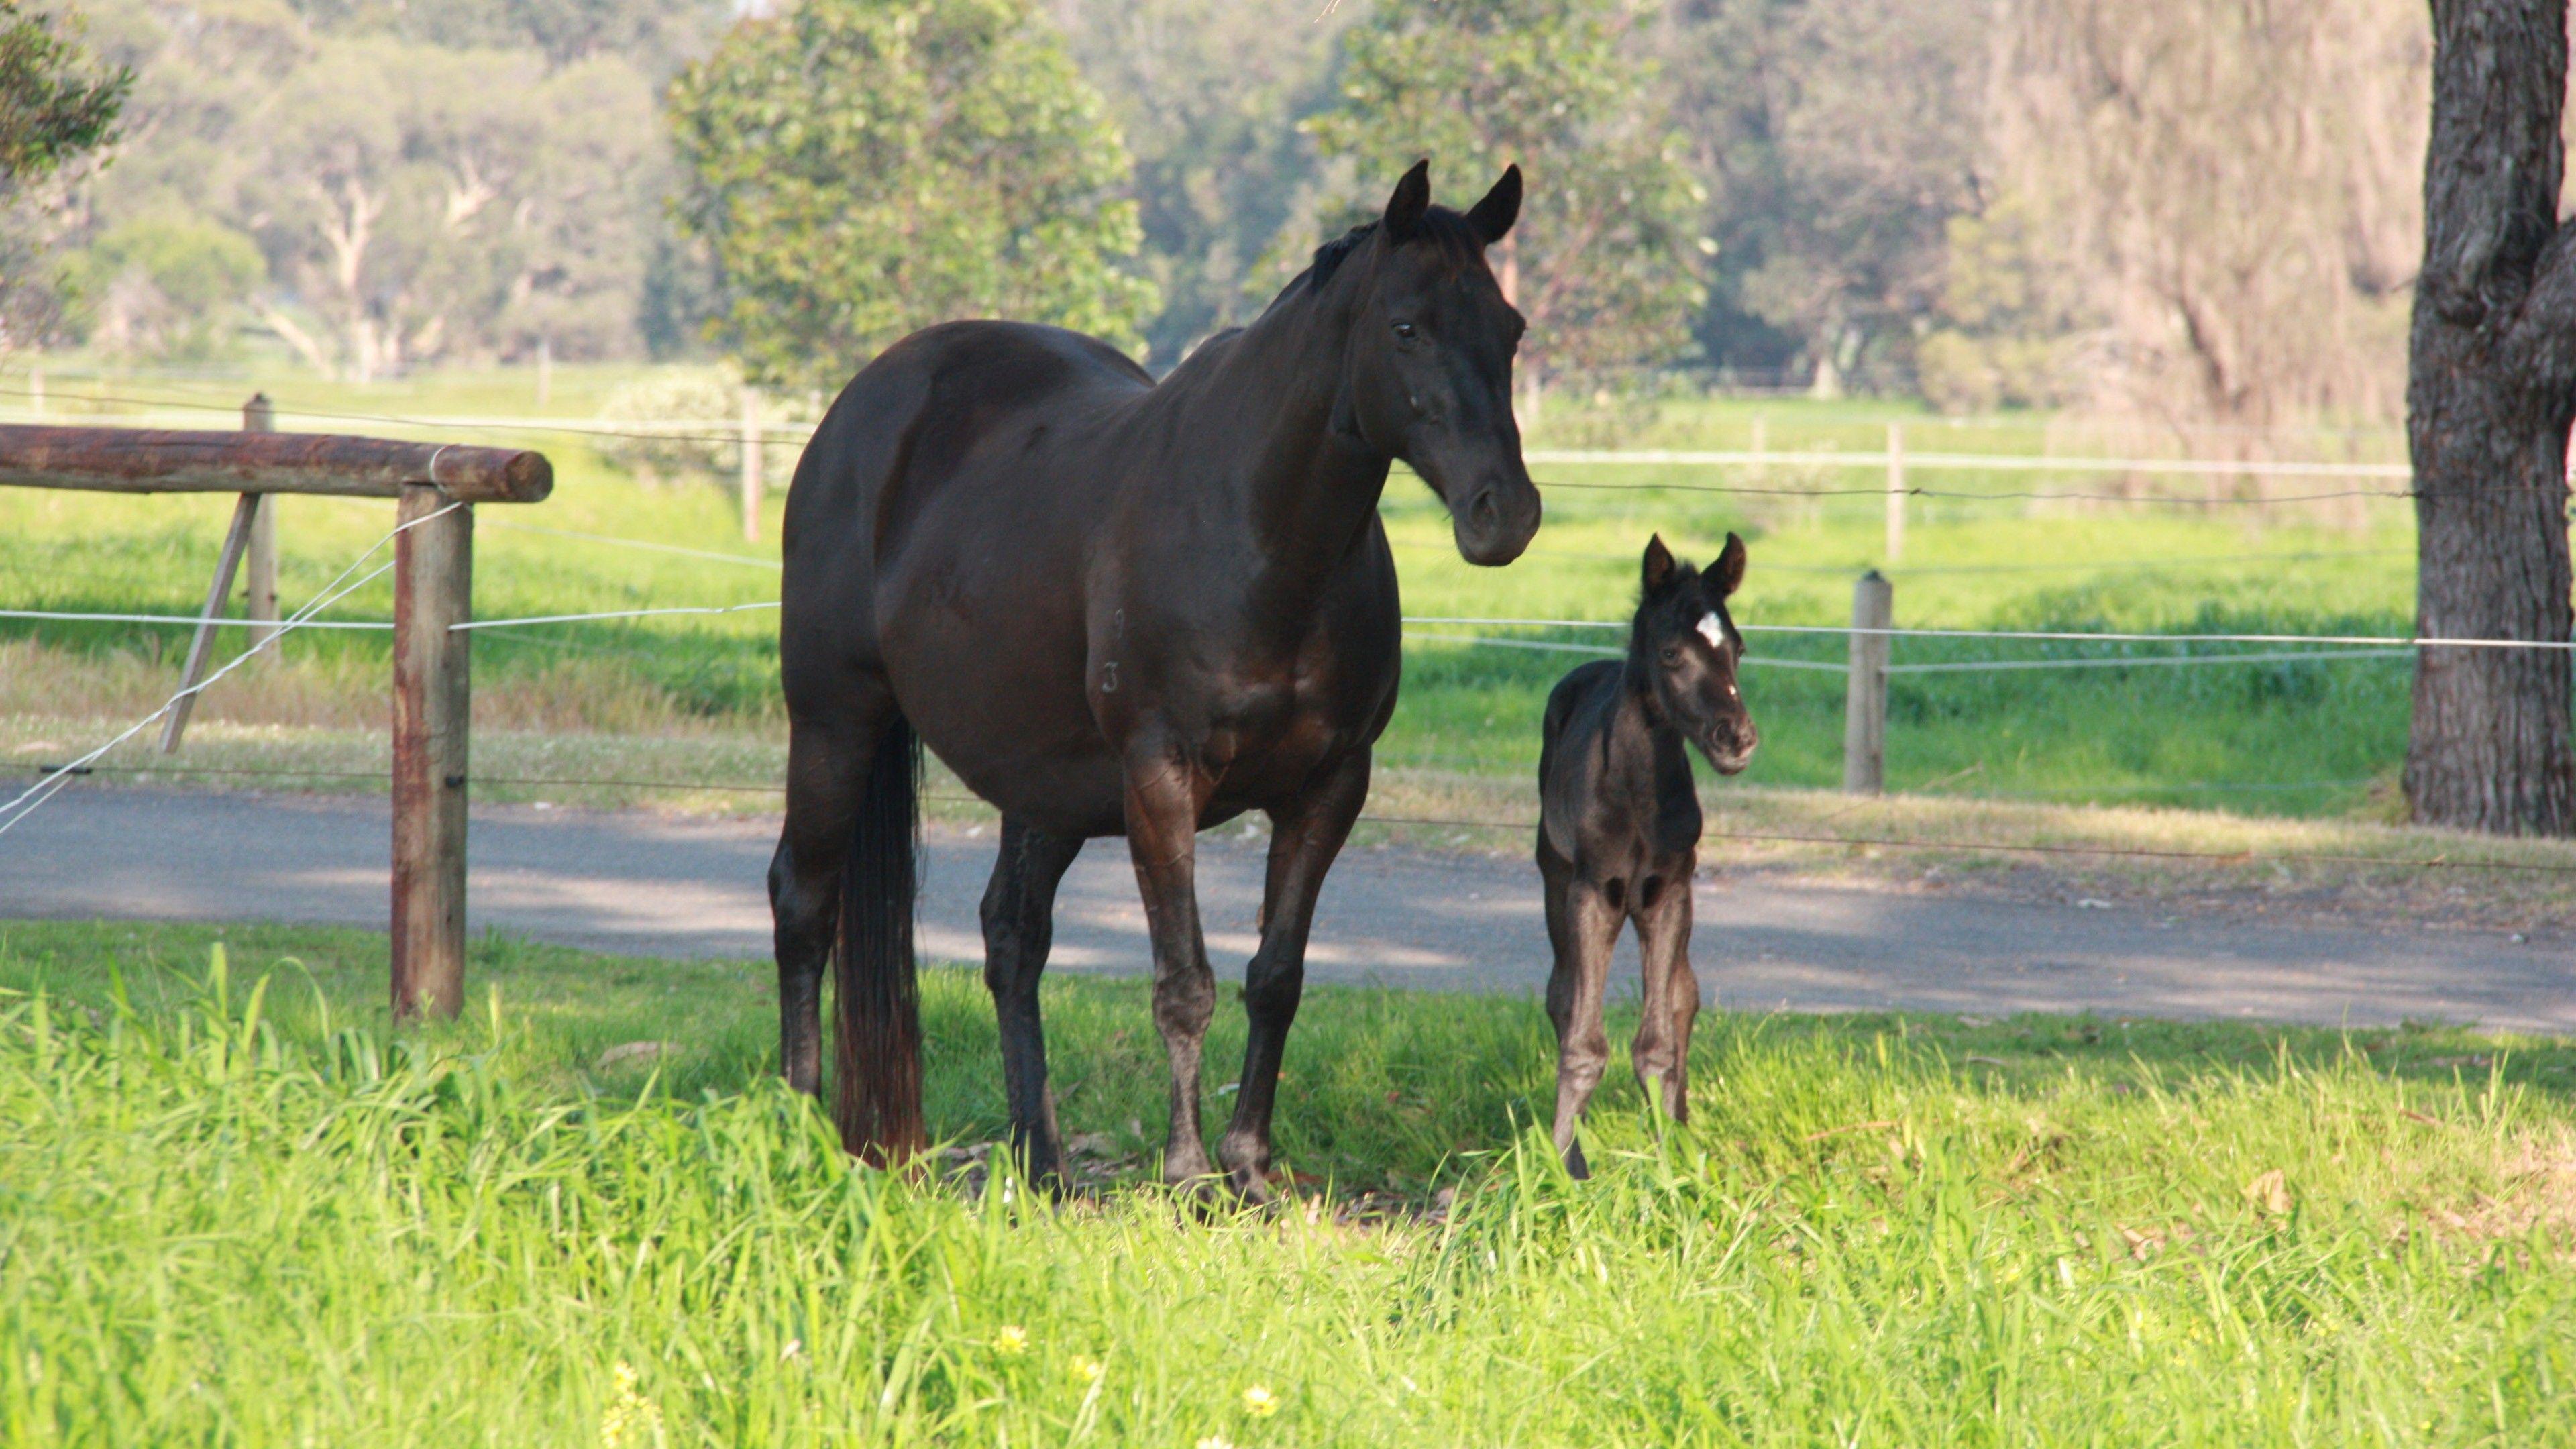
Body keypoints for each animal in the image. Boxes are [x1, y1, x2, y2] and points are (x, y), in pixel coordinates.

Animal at [770, 161, 1542, 1197]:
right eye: (1407, 327)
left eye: (1511, 328)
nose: (1506, 514)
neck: (1262, 535)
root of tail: (859, 410)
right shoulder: (1161, 776)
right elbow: (1186, 984)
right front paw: (1186, 1175)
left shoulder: (1331, 785)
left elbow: (1276, 978)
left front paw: (1249, 1168)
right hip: (834, 723)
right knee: (804, 906)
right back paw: (797, 1128)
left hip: (1042, 784)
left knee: (1012, 940)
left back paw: (1042, 1161)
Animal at [1533, 533, 1755, 1177]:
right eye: (1672, 652)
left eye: (1738, 648)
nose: (1737, 739)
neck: (1636, 796)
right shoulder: (1592, 895)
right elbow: (1582, 1038)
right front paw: (1565, 1166)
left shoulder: (1668, 892)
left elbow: (1660, 1040)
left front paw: (1671, 1164)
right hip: (1554, 876)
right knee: (1561, 994)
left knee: (1684, 996)